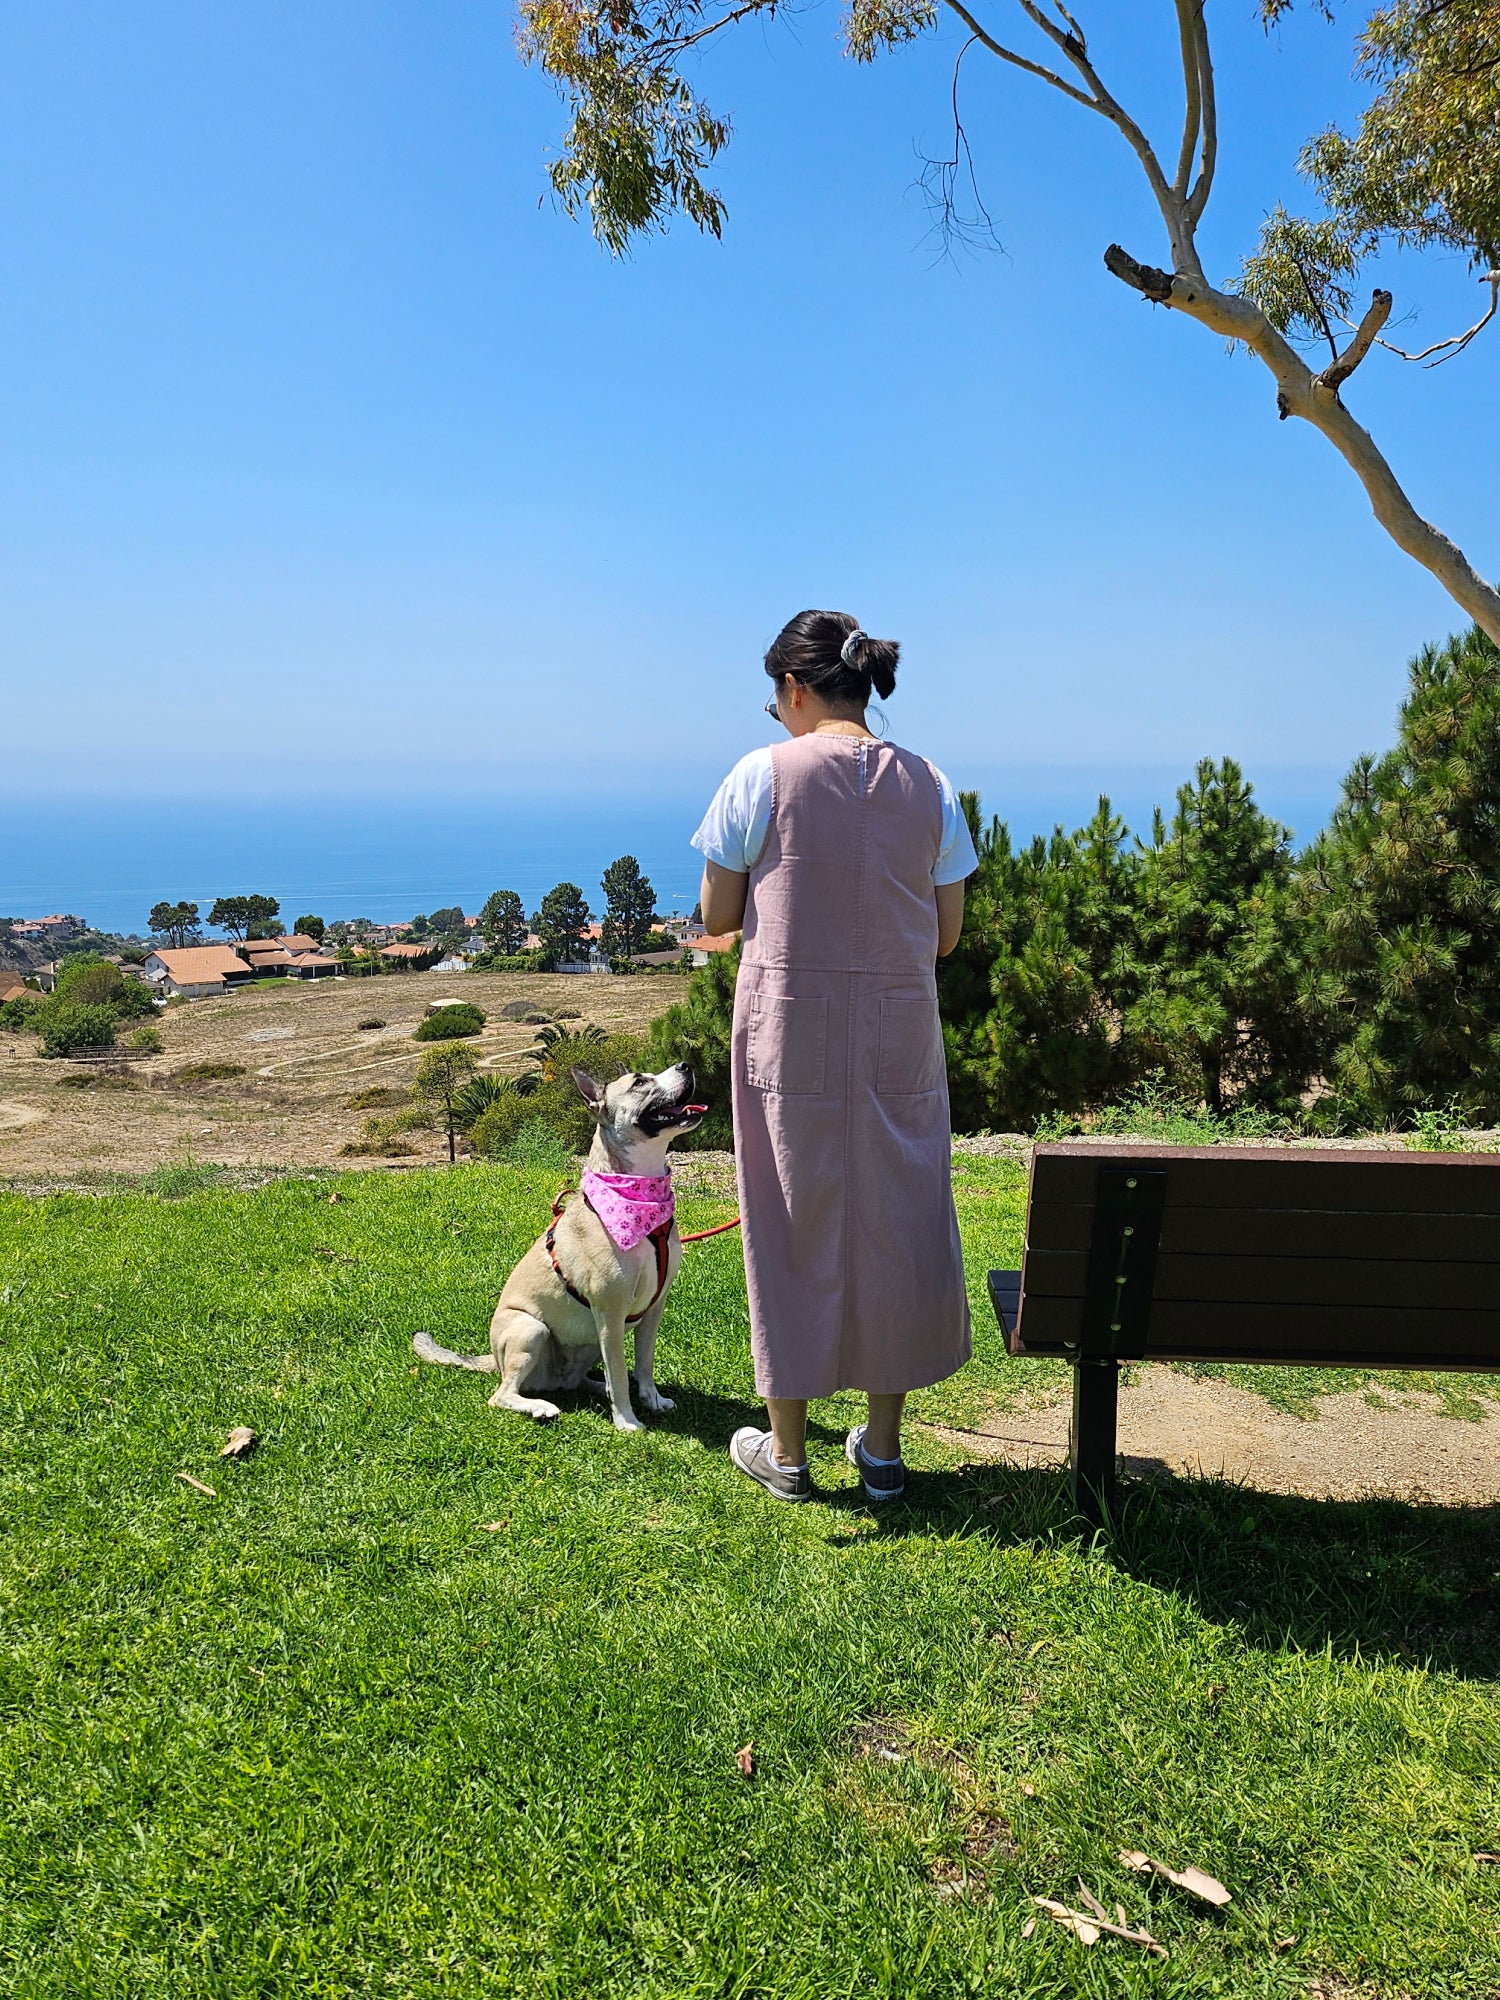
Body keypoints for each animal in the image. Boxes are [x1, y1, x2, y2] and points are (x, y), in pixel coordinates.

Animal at [412, 1064, 712, 1424]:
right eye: (640, 1082)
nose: (685, 1066)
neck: (641, 1195)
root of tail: (493, 1361)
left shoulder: (655, 1307)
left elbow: (644, 1363)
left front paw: (651, 1398)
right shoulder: (609, 1312)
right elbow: (619, 1372)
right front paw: (627, 1421)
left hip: (588, 1342)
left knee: (580, 1379)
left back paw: (595, 1387)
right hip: (532, 1329)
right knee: (502, 1395)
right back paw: (540, 1406)